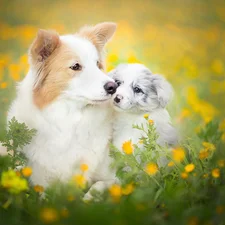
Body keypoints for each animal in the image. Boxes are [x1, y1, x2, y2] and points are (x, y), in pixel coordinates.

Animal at [7, 22, 118, 188]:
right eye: (76, 66)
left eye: (97, 64)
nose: (114, 86)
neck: (69, 120)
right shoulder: (39, 181)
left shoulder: (116, 177)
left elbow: (98, 185)